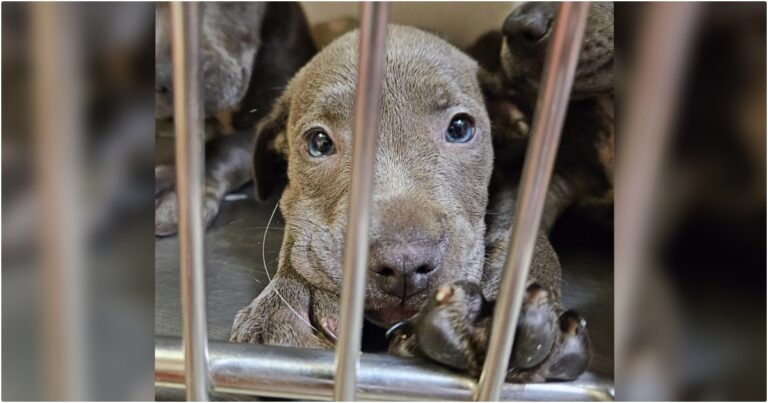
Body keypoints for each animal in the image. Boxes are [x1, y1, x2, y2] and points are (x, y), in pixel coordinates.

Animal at [231, 23, 592, 384]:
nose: (404, 264)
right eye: (319, 142)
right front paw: (292, 301)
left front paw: (504, 316)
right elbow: (300, 226)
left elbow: (528, 237)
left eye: (460, 128)